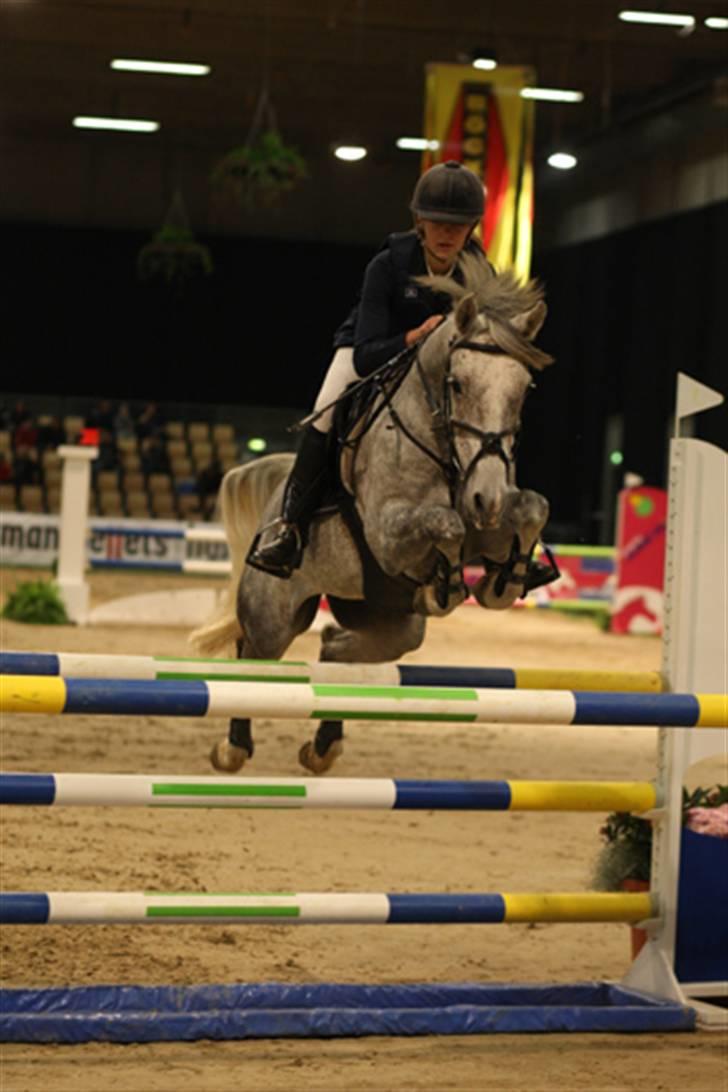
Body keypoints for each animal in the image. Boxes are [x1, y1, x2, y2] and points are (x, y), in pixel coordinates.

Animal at [191, 255, 554, 773]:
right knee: (254, 653)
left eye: (523, 390)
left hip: (390, 624)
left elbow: (532, 508)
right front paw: (447, 584)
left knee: (336, 649)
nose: (487, 498)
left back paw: (323, 747)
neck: (447, 453)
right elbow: (445, 522)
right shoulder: (388, 533)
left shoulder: (492, 520)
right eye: (458, 384)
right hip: (275, 612)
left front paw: (505, 580)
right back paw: (233, 748)